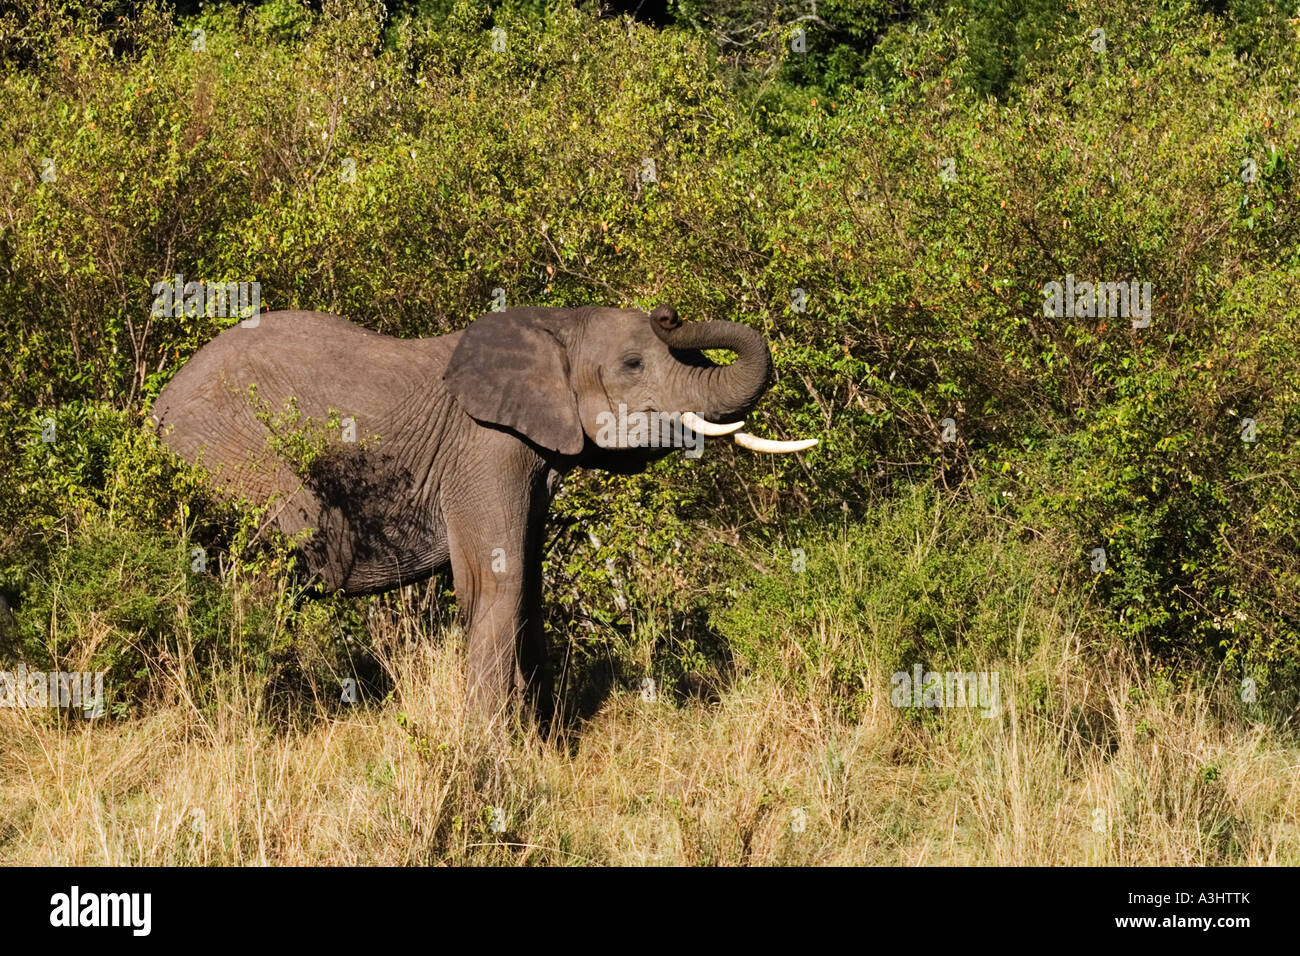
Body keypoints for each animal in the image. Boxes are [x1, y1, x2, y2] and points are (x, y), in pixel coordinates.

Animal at [150, 303, 816, 722]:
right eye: (633, 364)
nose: (668, 314)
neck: (556, 325)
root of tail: (152, 412)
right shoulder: (484, 444)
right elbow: (497, 579)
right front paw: (489, 751)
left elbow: (530, 586)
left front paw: (542, 742)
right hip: (223, 449)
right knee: (281, 560)